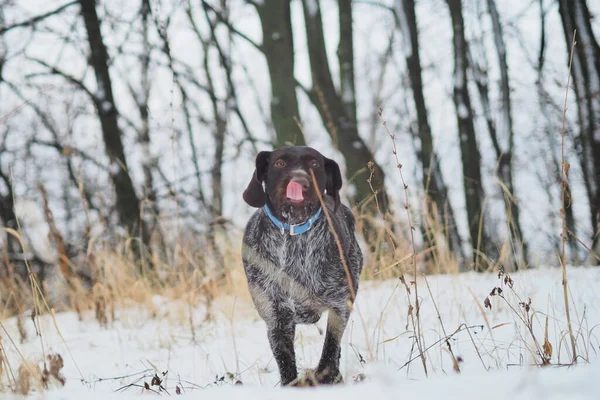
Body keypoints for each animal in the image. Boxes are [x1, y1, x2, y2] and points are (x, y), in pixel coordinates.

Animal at [241, 145, 364, 386]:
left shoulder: (339, 306)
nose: (299, 181)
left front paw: (320, 377)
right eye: (279, 163)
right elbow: (287, 368)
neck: (293, 236)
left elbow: (328, 356)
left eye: (314, 163)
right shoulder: (276, 318)